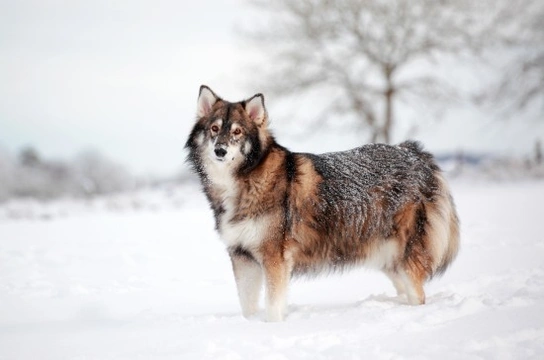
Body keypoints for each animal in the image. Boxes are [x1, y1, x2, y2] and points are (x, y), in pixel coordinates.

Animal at [186, 86, 460, 322]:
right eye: (214, 128)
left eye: (237, 132)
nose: (220, 151)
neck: (244, 181)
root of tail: (414, 152)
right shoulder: (242, 257)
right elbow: (247, 305)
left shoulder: (274, 259)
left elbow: (273, 306)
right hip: (388, 259)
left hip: (404, 258)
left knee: (419, 295)